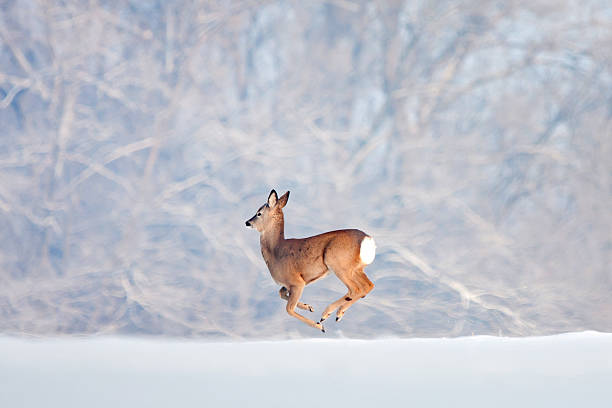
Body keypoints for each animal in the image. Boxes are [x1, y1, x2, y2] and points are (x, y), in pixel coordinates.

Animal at [246, 190, 376, 334]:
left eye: (259, 213)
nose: (247, 222)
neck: (275, 250)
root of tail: (368, 240)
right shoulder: (289, 284)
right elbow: (281, 293)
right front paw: (309, 307)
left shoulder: (297, 282)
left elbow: (289, 309)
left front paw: (319, 326)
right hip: (356, 269)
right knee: (368, 286)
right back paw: (335, 314)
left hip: (338, 264)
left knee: (355, 289)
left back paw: (328, 315)